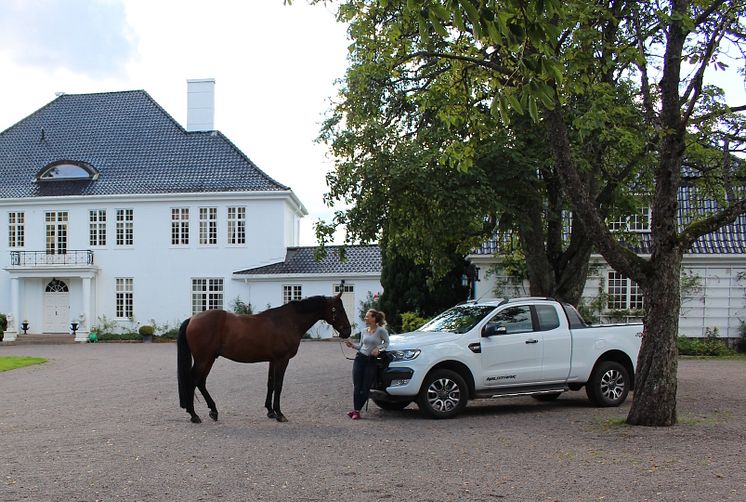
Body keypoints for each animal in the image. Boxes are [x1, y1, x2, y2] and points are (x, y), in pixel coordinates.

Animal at [176, 294, 350, 424]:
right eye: (338, 309)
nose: (347, 331)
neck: (288, 321)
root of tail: (192, 319)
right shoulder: (282, 360)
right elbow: (278, 385)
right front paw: (280, 414)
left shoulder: (273, 361)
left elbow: (270, 384)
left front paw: (270, 411)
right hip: (203, 359)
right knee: (193, 380)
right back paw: (194, 415)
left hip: (209, 358)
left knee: (200, 382)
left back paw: (213, 410)